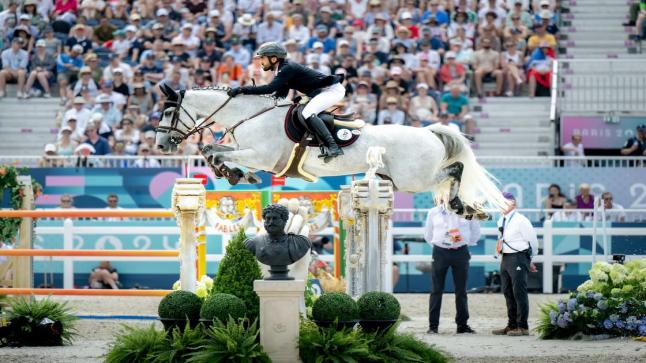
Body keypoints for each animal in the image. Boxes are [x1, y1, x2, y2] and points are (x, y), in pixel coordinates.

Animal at [157, 85, 512, 216]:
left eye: (167, 111)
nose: (161, 145)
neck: (250, 113)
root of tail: (429, 131)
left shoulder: (260, 156)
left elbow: (216, 152)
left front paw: (232, 173)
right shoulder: (249, 152)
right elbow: (212, 149)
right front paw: (233, 175)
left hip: (413, 179)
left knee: (455, 170)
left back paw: (461, 205)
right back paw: (467, 207)